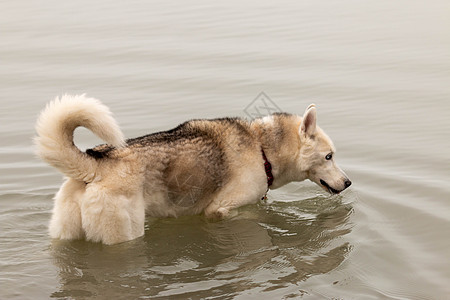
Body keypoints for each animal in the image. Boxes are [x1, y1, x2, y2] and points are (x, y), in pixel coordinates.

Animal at [35, 95, 352, 245]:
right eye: (329, 156)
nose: (348, 183)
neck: (261, 147)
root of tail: (96, 163)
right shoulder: (221, 211)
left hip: (65, 234)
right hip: (123, 235)